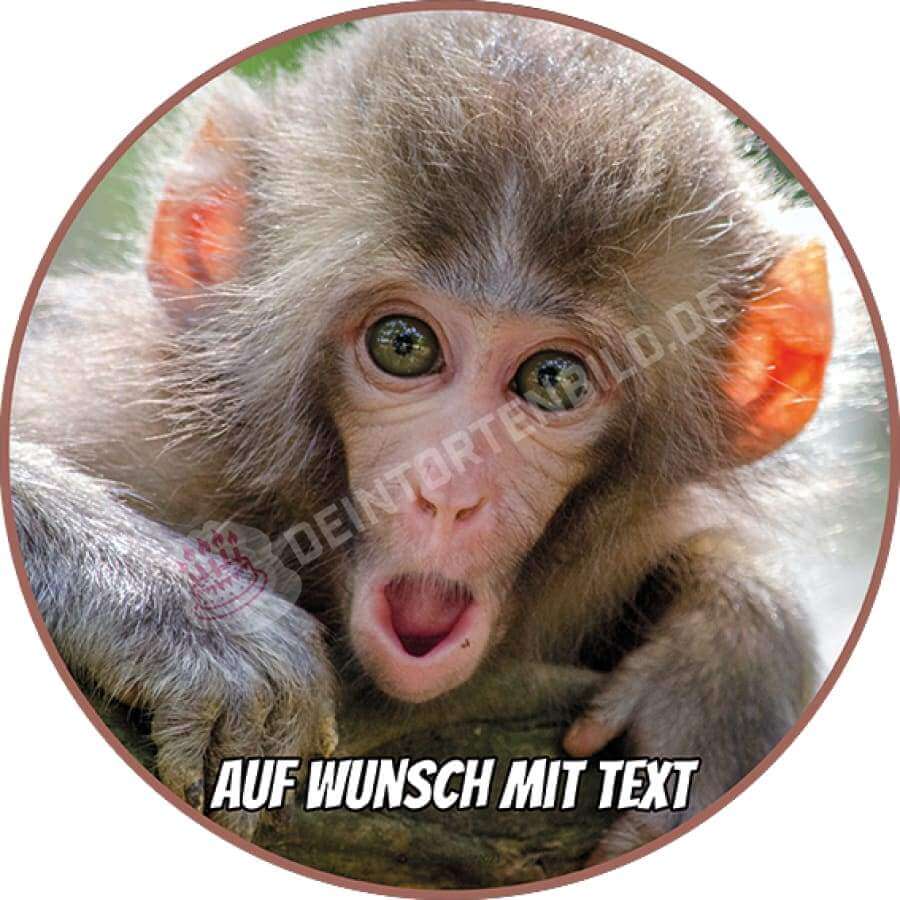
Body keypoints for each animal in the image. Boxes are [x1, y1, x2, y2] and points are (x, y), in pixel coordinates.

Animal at [7, 12, 833, 865]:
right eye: (404, 345)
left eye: (555, 381)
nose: (448, 492)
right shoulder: (119, 419)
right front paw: (182, 611)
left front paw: (730, 655)